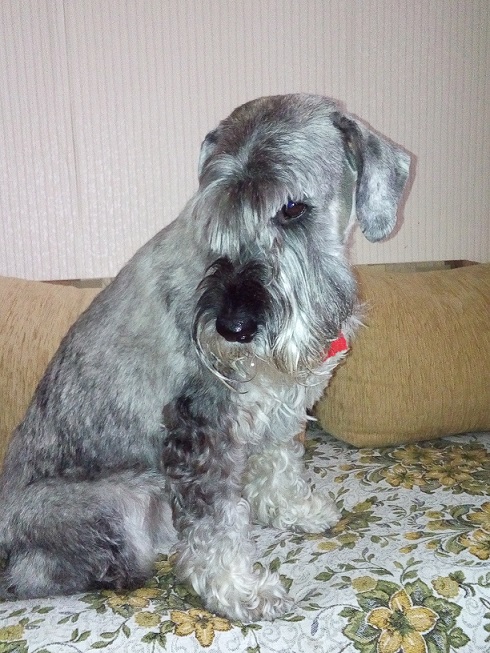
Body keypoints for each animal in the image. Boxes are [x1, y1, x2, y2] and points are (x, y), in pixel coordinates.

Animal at [0, 94, 410, 622]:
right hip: (125, 498)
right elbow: (217, 521)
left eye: (292, 208)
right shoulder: (199, 427)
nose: (232, 327)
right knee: (51, 572)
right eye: (214, 220)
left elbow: (280, 461)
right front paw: (237, 589)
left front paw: (292, 509)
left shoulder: (282, 406)